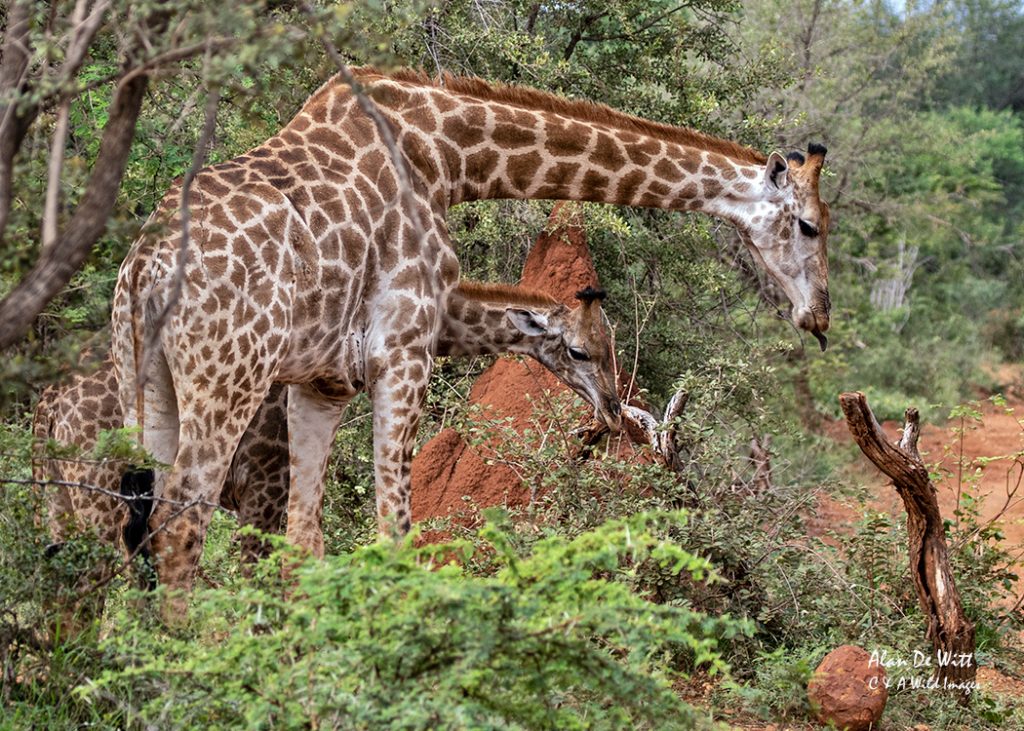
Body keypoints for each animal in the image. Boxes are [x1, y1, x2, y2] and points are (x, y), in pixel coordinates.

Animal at [38, 280, 616, 627]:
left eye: (609, 344)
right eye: (579, 351)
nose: (613, 409)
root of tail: (49, 406)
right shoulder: (264, 487)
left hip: (60, 504)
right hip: (99, 503)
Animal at [110, 68, 831, 610]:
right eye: (812, 226)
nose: (819, 316)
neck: (447, 153)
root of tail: (145, 268)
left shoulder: (323, 379)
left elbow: (306, 539)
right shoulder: (403, 348)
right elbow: (393, 531)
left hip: (146, 386)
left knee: (135, 526)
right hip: (228, 379)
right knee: (181, 527)